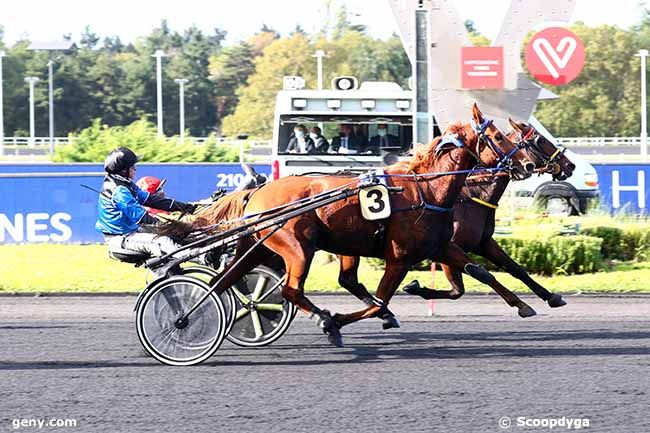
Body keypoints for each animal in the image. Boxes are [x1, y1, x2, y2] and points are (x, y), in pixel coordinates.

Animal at [167, 103, 536, 346]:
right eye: (498, 136)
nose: (527, 164)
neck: (427, 189)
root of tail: (257, 192)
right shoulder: (399, 257)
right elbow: (379, 302)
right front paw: (336, 321)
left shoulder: (442, 246)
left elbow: (482, 272)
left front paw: (525, 305)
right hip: (297, 248)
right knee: (289, 290)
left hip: (259, 246)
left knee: (224, 281)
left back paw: (197, 316)